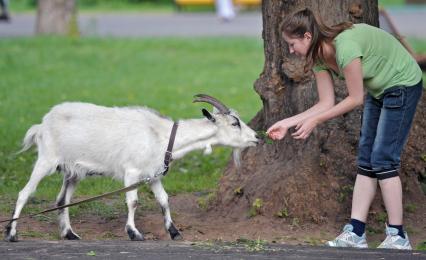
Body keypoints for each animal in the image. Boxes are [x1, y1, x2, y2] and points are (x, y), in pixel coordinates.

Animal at [4, 95, 260, 242]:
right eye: (235, 123)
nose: (257, 137)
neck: (162, 135)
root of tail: (42, 124)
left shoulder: (153, 175)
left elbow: (164, 200)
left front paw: (174, 231)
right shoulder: (132, 172)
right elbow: (133, 201)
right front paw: (134, 233)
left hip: (72, 171)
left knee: (61, 199)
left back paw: (69, 234)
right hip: (46, 159)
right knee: (25, 193)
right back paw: (11, 233)